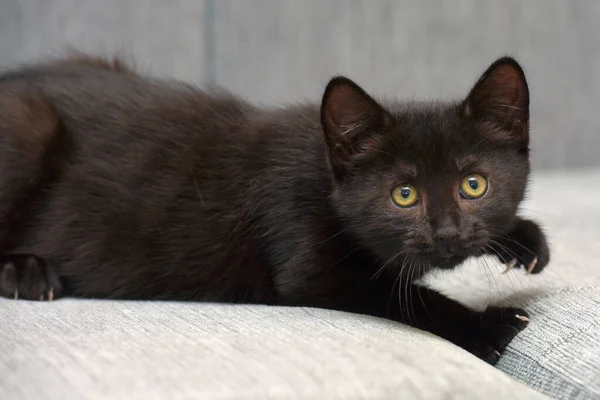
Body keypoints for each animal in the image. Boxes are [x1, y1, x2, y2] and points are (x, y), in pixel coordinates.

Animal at [0, 54, 548, 364]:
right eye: (404, 195)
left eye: (473, 185)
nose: (448, 232)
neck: (326, 169)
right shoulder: (309, 268)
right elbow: (407, 298)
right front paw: (487, 325)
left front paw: (522, 238)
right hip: (25, 127)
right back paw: (25, 272)